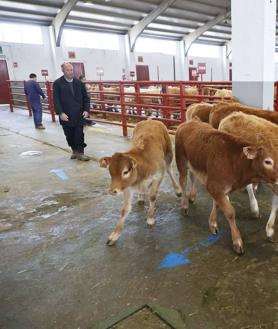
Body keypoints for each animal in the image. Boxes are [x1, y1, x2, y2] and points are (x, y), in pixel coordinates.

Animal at [176, 118, 278, 254]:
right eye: (267, 161)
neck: (235, 162)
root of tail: (191, 121)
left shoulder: (220, 188)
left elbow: (217, 204)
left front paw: (213, 223)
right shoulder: (214, 186)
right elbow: (230, 212)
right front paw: (237, 241)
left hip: (193, 162)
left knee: (192, 176)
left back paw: (192, 196)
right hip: (181, 160)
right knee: (182, 181)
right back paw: (185, 205)